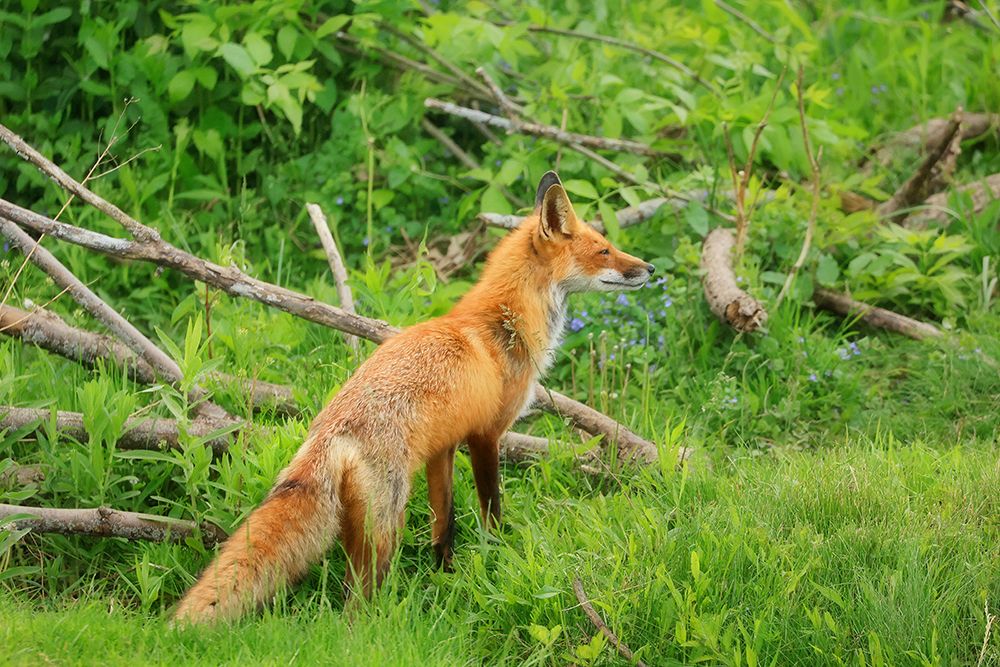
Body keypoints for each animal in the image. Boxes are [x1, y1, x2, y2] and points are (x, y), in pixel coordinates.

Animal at [172, 171, 655, 624]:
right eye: (605, 250)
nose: (651, 269)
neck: (503, 326)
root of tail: (328, 433)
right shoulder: (486, 435)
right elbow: (491, 510)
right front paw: (498, 556)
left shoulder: (442, 446)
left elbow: (446, 524)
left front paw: (447, 575)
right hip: (387, 524)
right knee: (356, 601)